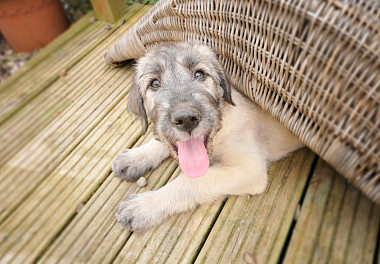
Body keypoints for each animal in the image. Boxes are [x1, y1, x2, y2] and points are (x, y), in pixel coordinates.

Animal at [112, 42, 302, 232]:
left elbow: (190, 182)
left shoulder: (249, 170)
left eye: (199, 74)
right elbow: (162, 141)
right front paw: (135, 157)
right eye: (155, 83)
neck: (219, 130)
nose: (186, 119)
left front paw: (145, 206)